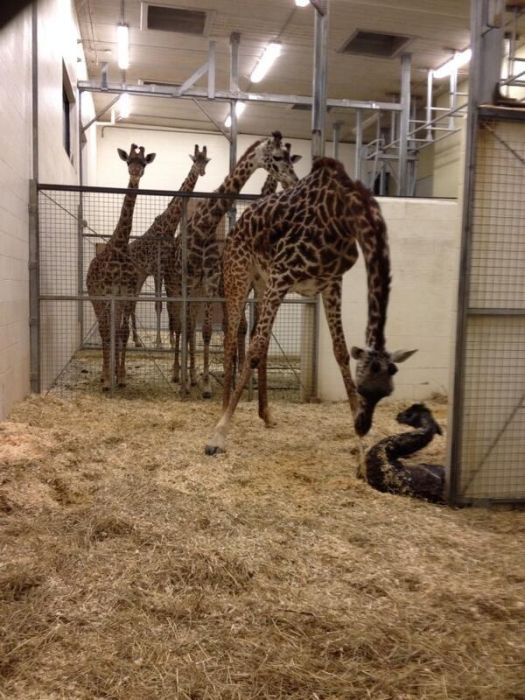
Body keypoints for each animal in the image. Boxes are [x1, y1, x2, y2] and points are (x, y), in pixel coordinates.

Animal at [86, 144, 155, 392]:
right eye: (128, 161)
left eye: (143, 162)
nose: (134, 173)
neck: (119, 246)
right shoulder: (107, 293)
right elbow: (108, 332)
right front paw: (108, 378)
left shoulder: (125, 293)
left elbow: (122, 333)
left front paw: (122, 376)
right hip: (95, 297)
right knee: (105, 330)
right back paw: (104, 375)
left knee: (114, 330)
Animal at [168, 131, 298, 394]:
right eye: (278, 157)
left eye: (292, 158)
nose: (293, 180)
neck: (204, 230)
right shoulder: (192, 281)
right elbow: (192, 328)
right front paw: (195, 382)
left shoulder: (215, 282)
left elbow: (218, 330)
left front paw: (209, 383)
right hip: (177, 285)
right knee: (179, 325)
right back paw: (180, 375)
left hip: (205, 290)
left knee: (200, 325)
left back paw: (197, 375)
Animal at [205, 156, 414, 456]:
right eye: (364, 388)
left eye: (387, 392)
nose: (363, 425)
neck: (341, 216)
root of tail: (238, 224)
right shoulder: (282, 274)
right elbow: (253, 349)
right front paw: (219, 435)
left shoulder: (330, 283)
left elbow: (340, 351)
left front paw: (360, 441)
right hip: (239, 275)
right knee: (233, 338)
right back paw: (222, 411)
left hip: (262, 282)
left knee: (258, 338)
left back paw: (266, 414)